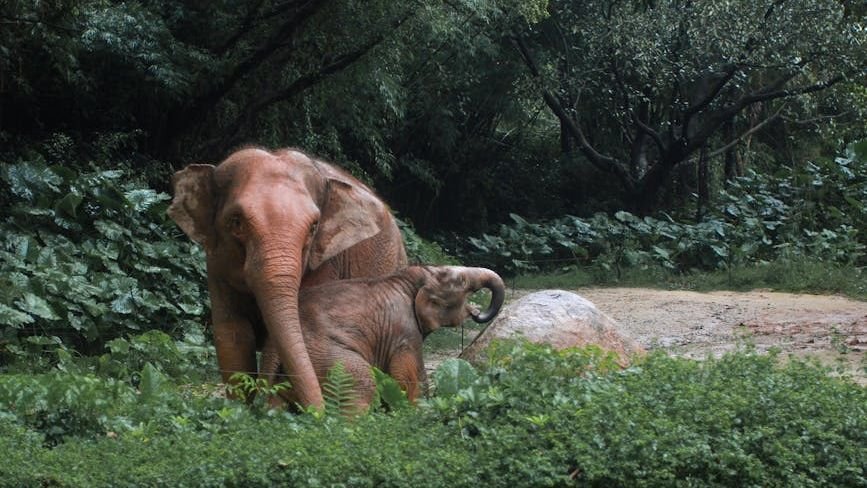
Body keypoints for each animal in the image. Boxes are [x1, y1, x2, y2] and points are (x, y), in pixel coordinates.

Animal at [168, 147, 407, 408]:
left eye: (313, 227)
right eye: (236, 222)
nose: (319, 413)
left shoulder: (326, 263)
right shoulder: (216, 263)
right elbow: (233, 335)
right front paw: (239, 410)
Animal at [261, 265, 505, 411]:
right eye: (462, 281)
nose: (477, 313)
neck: (416, 277)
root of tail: (273, 346)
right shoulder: (404, 332)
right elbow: (409, 377)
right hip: (325, 356)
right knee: (362, 384)